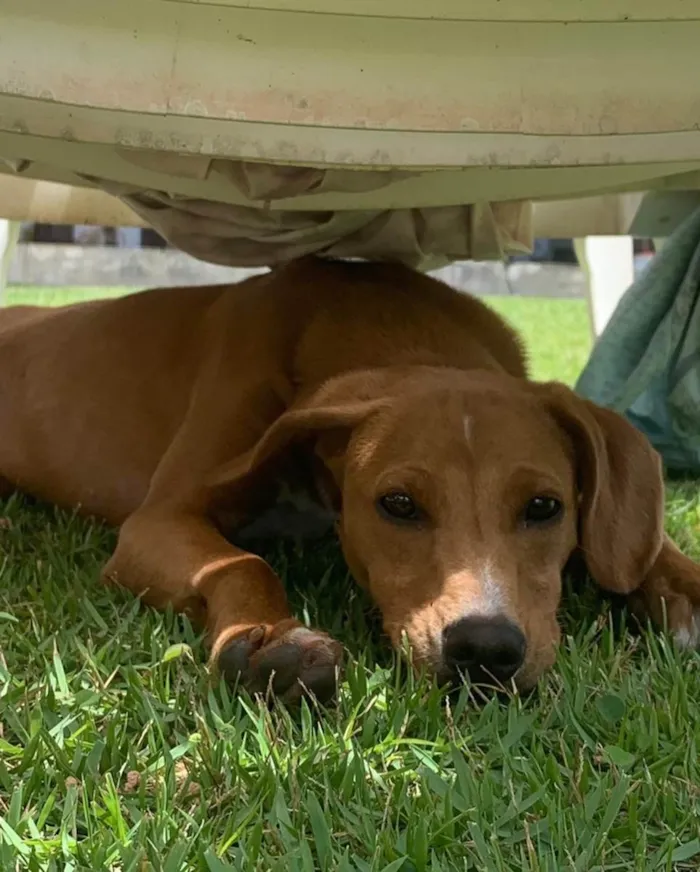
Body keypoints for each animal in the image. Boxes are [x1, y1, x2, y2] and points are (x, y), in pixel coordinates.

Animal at [1, 255, 700, 704]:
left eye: (545, 506)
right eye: (398, 504)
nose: (484, 648)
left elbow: (640, 544)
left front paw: (682, 584)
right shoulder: (158, 521)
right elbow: (242, 563)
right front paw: (269, 639)